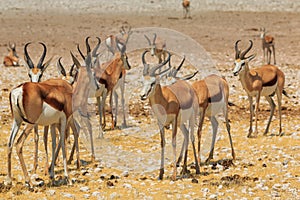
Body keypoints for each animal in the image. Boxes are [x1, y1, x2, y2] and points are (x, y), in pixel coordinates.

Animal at [7, 52, 96, 188]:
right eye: (91, 73)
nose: (97, 86)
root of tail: (20, 89)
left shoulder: (54, 123)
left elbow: (54, 144)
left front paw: (52, 176)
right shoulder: (64, 120)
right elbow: (63, 143)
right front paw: (68, 178)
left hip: (17, 121)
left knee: (10, 143)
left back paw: (9, 181)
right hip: (30, 123)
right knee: (19, 144)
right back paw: (29, 182)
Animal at [140, 50, 199, 180]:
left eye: (153, 82)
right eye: (142, 81)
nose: (142, 95)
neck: (165, 101)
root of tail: (188, 86)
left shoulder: (174, 120)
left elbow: (173, 142)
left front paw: (173, 175)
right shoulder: (160, 122)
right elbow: (162, 143)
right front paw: (160, 174)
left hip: (191, 118)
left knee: (192, 136)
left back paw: (197, 169)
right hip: (181, 123)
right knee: (186, 134)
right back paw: (184, 168)